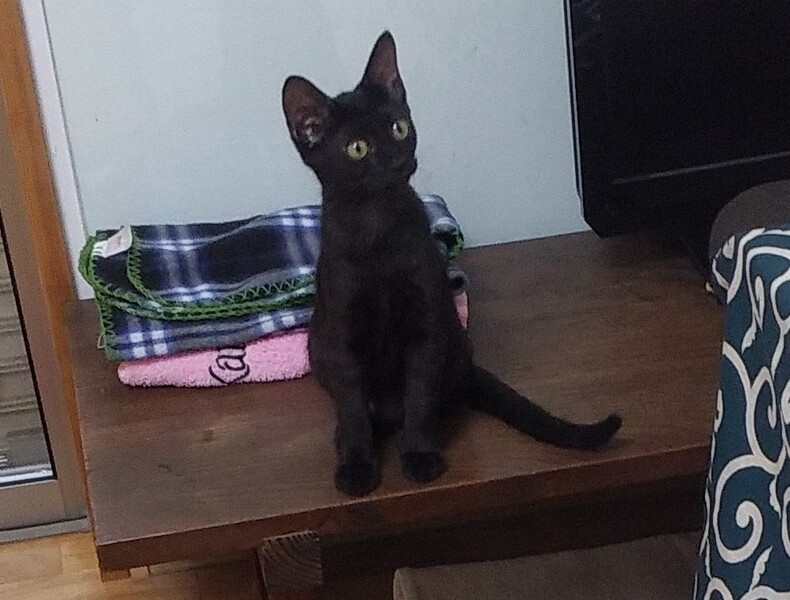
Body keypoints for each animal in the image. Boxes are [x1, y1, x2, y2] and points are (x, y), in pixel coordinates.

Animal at [282, 31, 621, 497]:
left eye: (399, 127)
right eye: (357, 148)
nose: (397, 160)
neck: (378, 231)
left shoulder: (428, 326)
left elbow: (421, 397)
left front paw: (420, 454)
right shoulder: (340, 336)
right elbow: (352, 408)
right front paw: (356, 464)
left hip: (451, 343)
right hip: (319, 346)